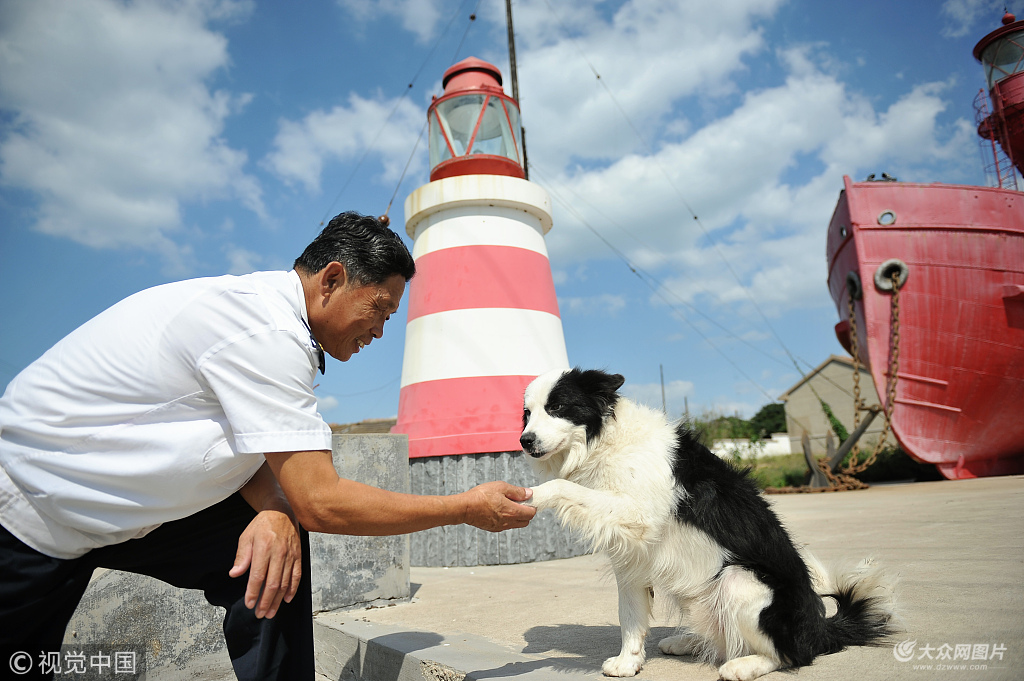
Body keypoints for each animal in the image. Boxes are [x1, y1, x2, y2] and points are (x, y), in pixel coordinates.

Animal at [520, 368, 897, 675]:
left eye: (557, 407)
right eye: (526, 414)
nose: (524, 440)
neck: (604, 442)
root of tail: (820, 631)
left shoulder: (638, 515)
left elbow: (561, 486)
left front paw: (530, 495)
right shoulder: (631, 555)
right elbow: (630, 615)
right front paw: (629, 661)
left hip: (738, 580)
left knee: (790, 656)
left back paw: (744, 666)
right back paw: (687, 641)